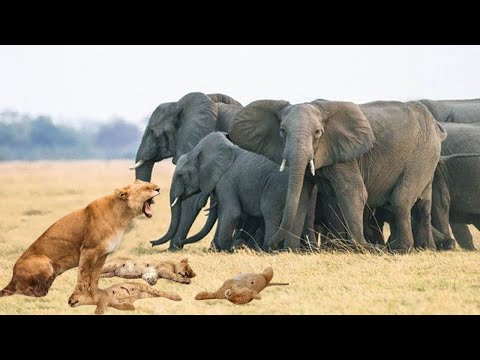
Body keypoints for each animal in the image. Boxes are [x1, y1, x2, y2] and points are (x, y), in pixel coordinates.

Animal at [159, 131, 314, 252]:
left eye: (180, 175)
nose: (153, 243)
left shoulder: (226, 182)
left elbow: (232, 213)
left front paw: (228, 249)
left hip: (275, 186)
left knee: (270, 213)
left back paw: (268, 249)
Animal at [229, 98, 446, 250]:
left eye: (318, 132)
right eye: (282, 131)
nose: (268, 246)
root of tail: (436, 126)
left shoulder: (346, 156)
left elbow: (353, 192)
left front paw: (360, 248)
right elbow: (302, 196)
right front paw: (292, 250)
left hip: (423, 152)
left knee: (401, 199)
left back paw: (401, 249)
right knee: (423, 203)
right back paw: (425, 248)